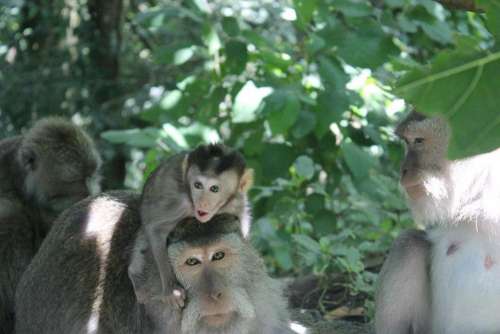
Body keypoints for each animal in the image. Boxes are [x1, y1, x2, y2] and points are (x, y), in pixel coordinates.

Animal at [129, 144, 254, 308]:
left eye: (214, 189)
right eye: (198, 185)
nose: (202, 202)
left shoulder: (236, 200)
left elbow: (244, 219)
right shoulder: (179, 203)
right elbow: (155, 229)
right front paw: (171, 289)